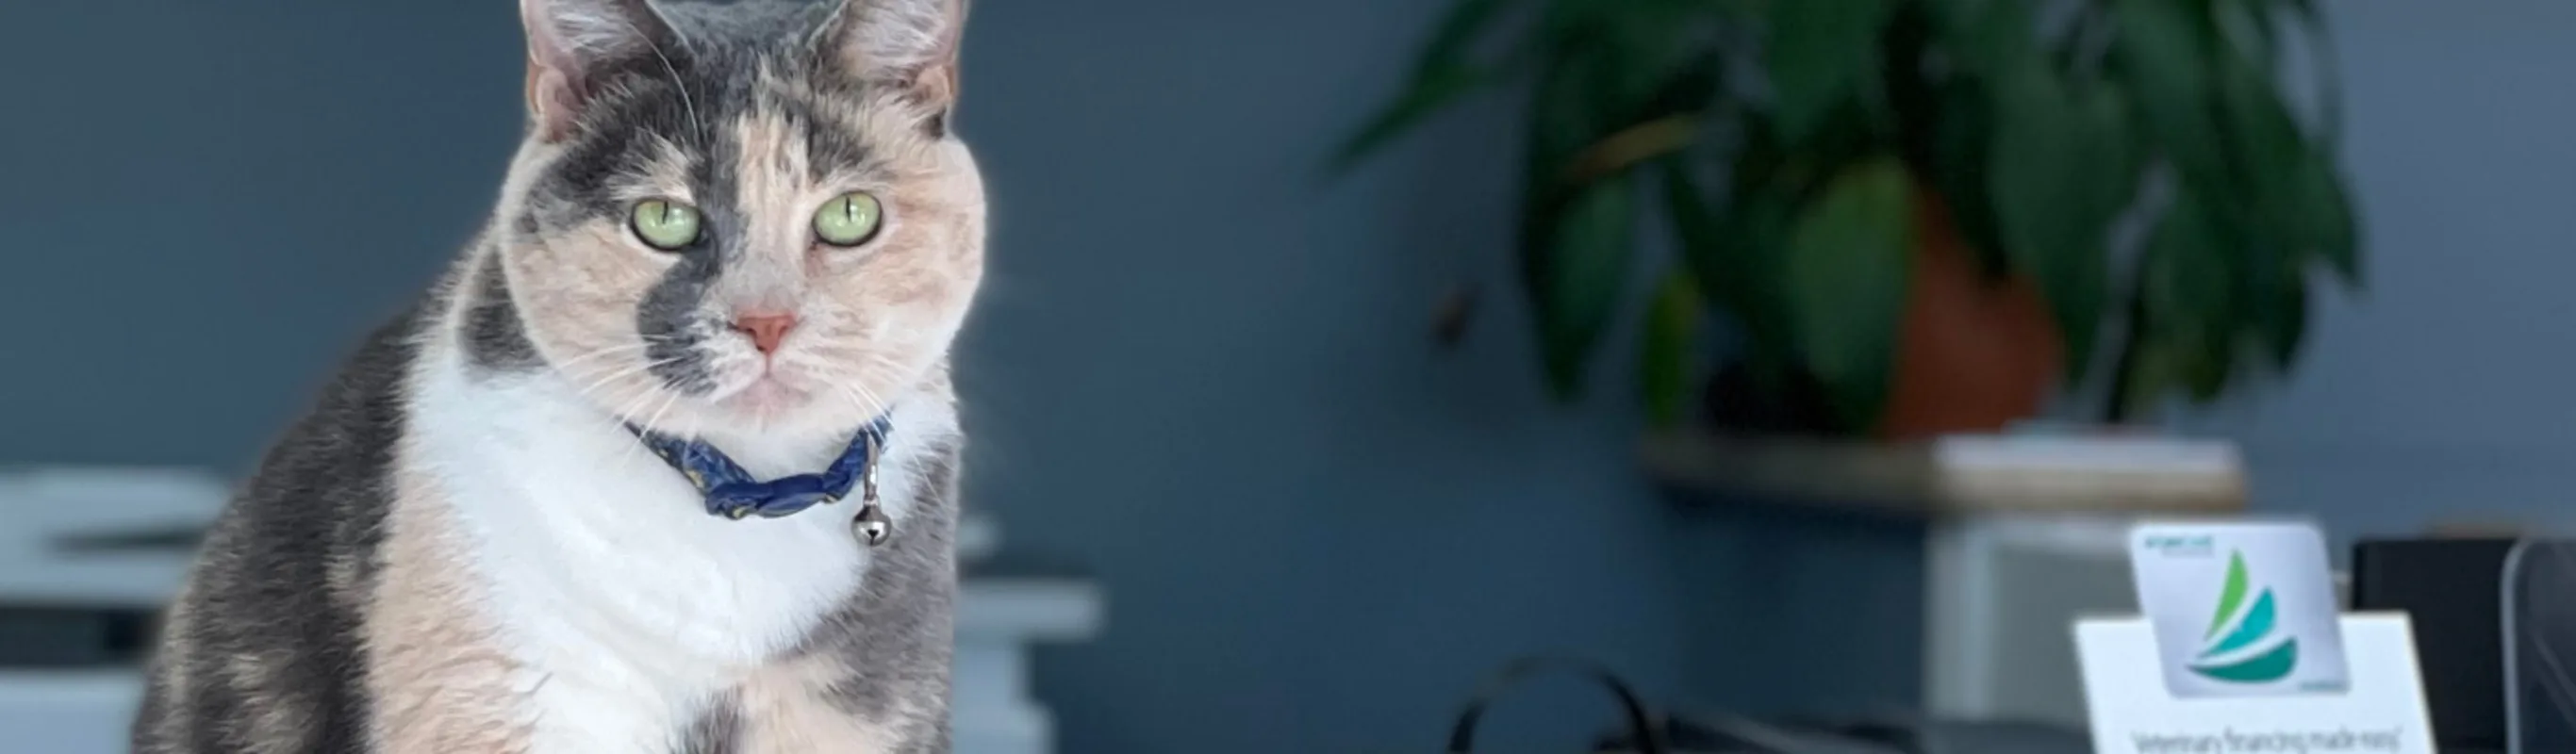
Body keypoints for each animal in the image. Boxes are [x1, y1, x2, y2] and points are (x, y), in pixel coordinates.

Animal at [127, 0, 983, 746]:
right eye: (664, 220)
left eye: (849, 216)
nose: (766, 321)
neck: (737, 504)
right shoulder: (494, 684)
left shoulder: (864, 704)